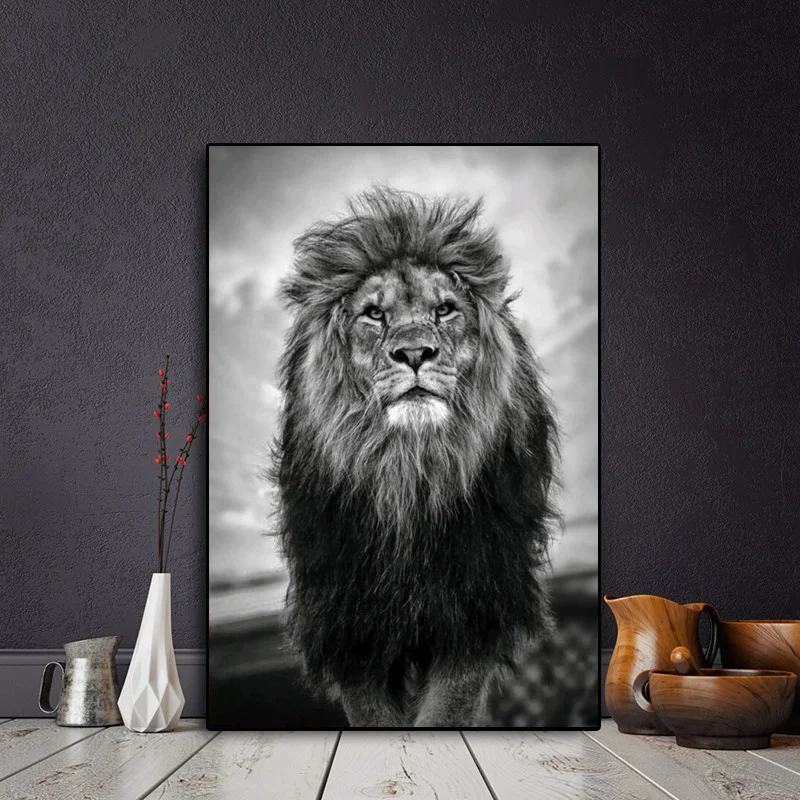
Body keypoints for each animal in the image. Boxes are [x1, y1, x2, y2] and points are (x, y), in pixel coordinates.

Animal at [271, 187, 559, 727]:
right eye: (374, 314)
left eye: (445, 310)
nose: (415, 353)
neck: (408, 472)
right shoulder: (348, 623)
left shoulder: (475, 610)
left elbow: (446, 713)